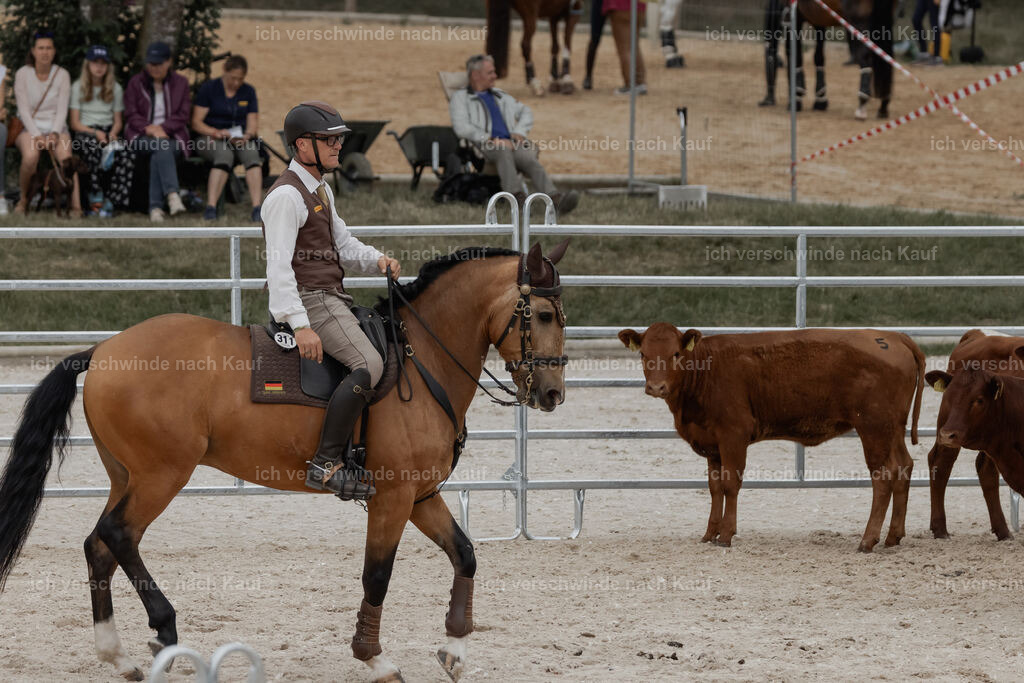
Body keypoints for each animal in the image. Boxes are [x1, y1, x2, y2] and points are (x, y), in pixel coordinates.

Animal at [0, 242, 570, 682]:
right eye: (542, 316)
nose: (552, 393)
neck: (421, 360)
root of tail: (103, 349)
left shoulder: (420, 496)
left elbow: (465, 554)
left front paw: (454, 650)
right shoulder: (391, 498)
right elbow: (376, 576)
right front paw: (375, 659)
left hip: (127, 476)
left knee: (99, 545)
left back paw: (116, 655)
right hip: (161, 476)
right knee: (118, 535)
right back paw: (164, 629)